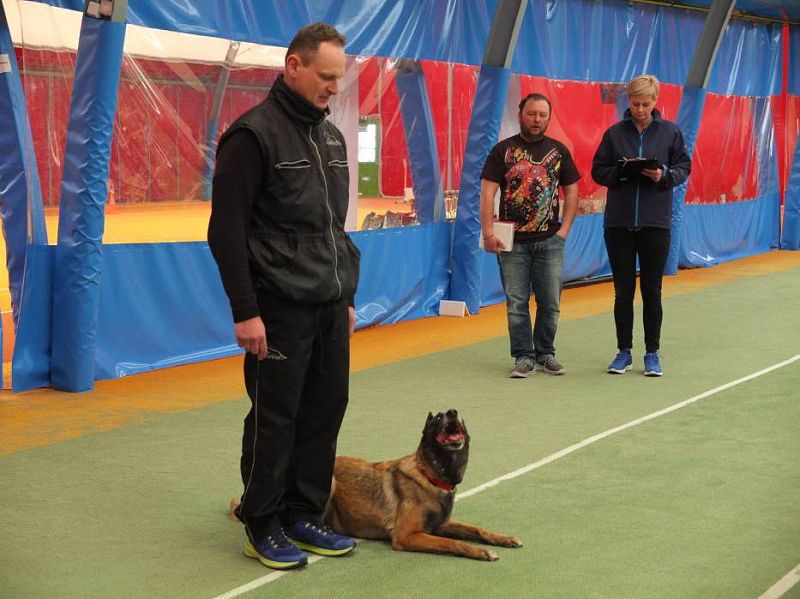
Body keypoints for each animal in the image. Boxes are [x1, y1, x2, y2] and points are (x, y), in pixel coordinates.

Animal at [324, 410, 524, 560]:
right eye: (437, 418)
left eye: (458, 414)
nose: (452, 412)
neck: (429, 477)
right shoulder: (406, 535)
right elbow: (451, 542)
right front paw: (479, 551)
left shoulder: (441, 524)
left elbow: (476, 529)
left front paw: (503, 538)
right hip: (330, 482)